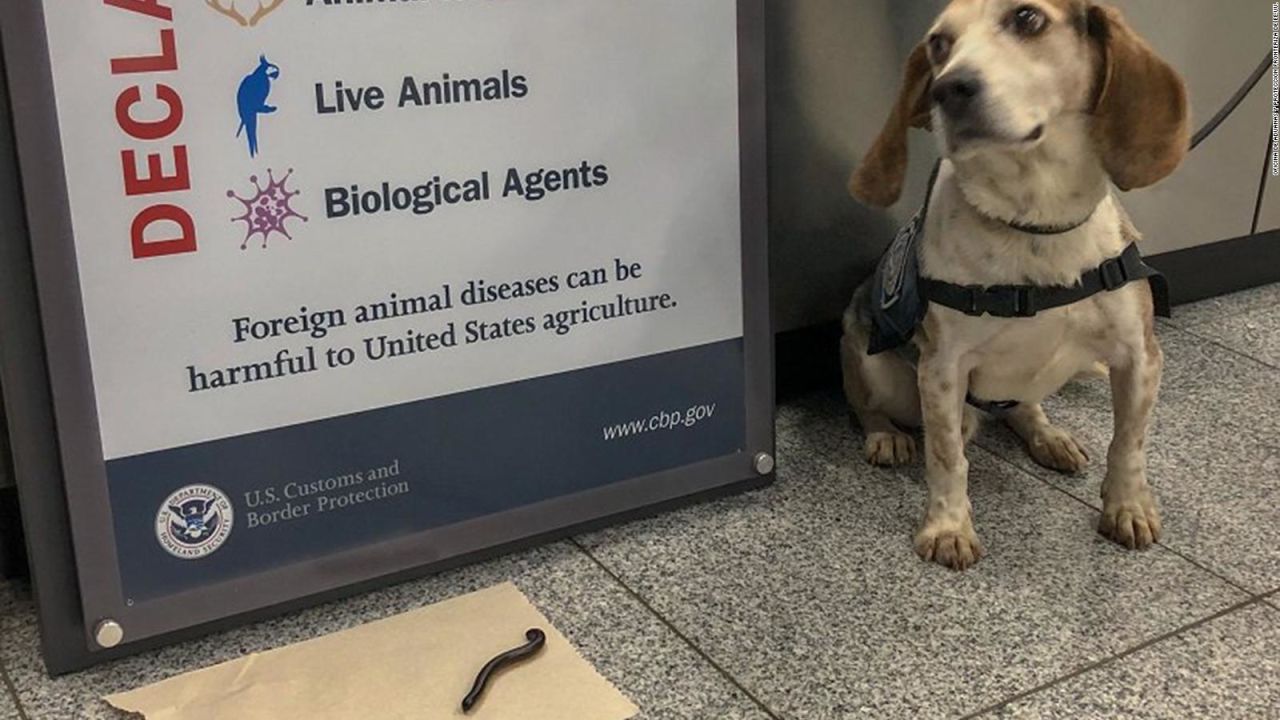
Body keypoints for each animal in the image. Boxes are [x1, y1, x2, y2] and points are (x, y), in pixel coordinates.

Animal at [839, 2, 1187, 568]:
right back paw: (887, 436)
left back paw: (1049, 437)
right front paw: (948, 528)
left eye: (1027, 18)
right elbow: (947, 457)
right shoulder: (941, 368)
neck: (1034, 224)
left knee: (1023, 406)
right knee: (873, 407)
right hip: (873, 365)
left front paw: (1128, 507)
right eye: (938, 43)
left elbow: (1129, 444)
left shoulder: (1140, 355)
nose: (948, 88)